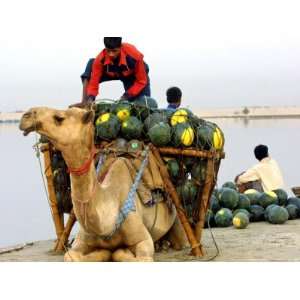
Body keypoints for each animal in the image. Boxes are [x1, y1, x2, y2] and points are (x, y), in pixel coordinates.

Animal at [19, 106, 188, 262]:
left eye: (59, 118)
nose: (25, 116)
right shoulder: (81, 240)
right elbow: (71, 256)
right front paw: (102, 252)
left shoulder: (144, 240)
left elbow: (125, 254)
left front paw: (118, 250)